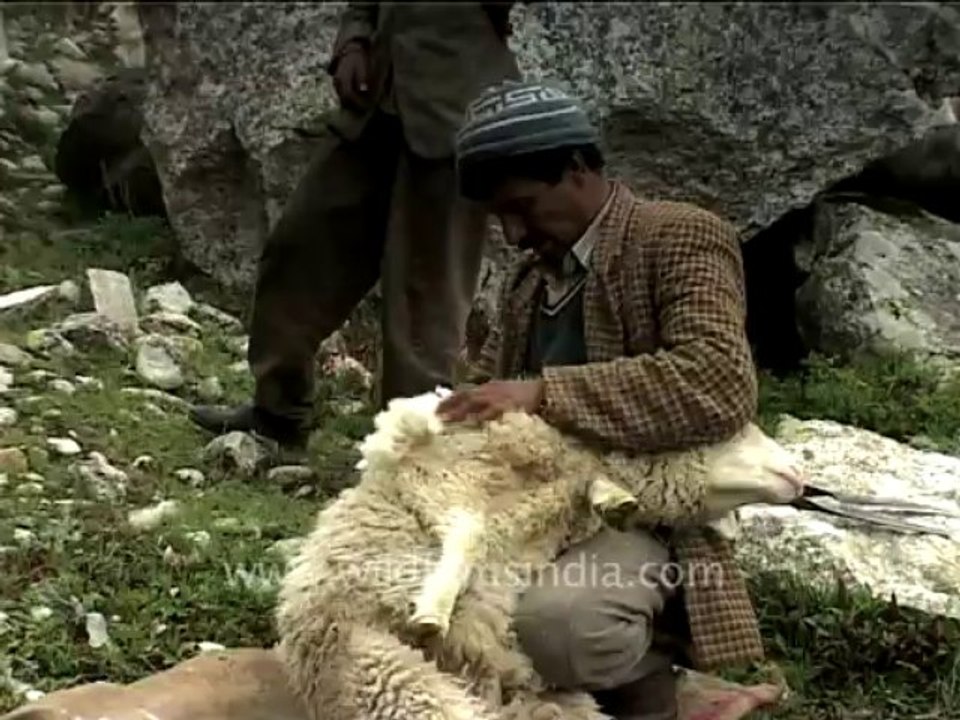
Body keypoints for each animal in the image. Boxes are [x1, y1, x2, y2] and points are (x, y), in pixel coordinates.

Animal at [275, 387, 804, 720]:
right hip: (385, 670)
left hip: (538, 698)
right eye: (733, 433)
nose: (800, 475)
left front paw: (614, 499)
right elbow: (468, 534)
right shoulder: (443, 478)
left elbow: (593, 491)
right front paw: (433, 608)